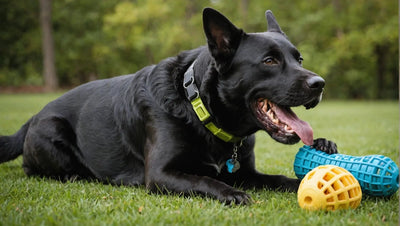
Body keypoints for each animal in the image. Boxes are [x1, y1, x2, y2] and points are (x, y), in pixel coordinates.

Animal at [1, 8, 336, 205]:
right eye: (269, 61)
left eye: (299, 59)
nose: (320, 83)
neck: (200, 110)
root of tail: (34, 116)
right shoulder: (161, 175)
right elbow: (204, 179)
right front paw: (230, 193)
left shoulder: (247, 172)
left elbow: (279, 179)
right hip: (53, 130)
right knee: (33, 169)